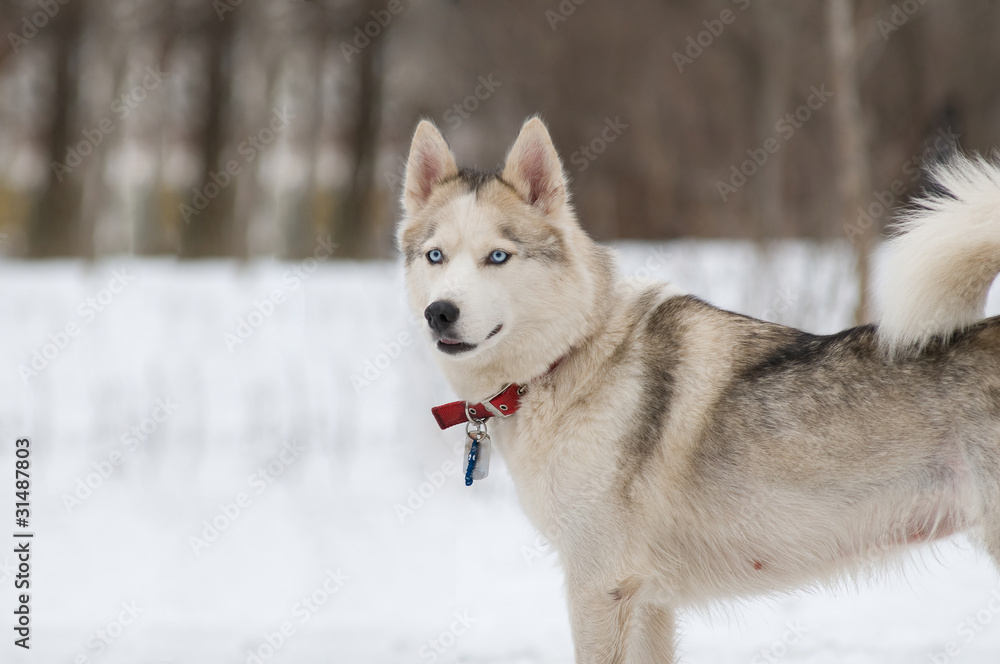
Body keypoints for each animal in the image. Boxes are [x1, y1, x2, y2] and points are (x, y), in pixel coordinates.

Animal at [394, 116, 1000, 660]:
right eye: (435, 256)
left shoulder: (600, 587)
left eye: (498, 256)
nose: (440, 312)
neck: (568, 359)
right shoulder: (649, 601)